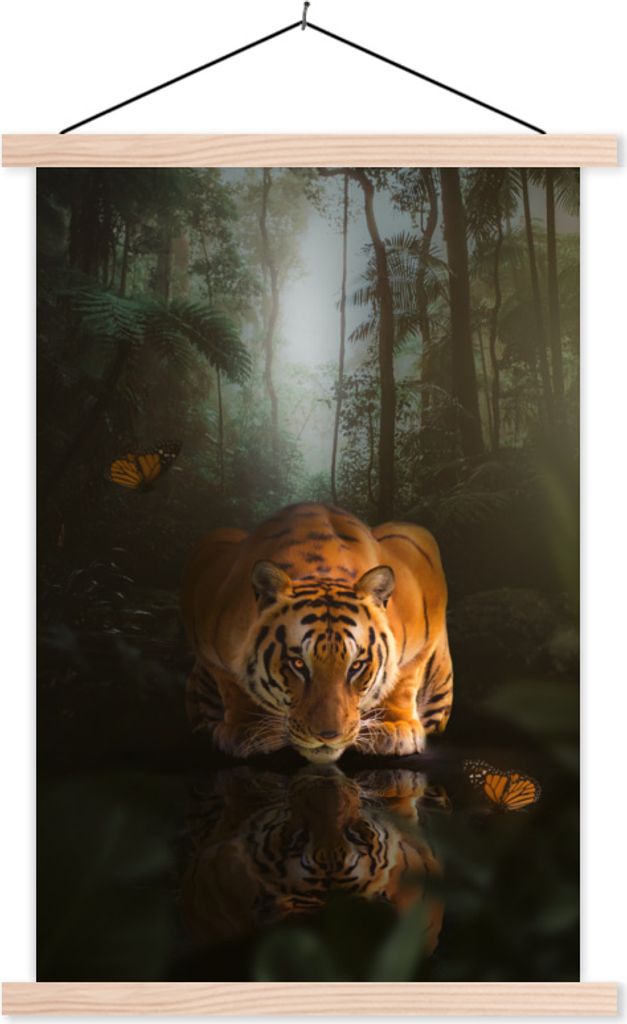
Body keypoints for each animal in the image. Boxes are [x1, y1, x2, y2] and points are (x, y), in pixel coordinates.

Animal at [181, 503, 453, 763]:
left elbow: (404, 678)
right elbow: (234, 686)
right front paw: (248, 730)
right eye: (298, 664)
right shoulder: (207, 629)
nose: (328, 736)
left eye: (356, 666)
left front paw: (393, 728)